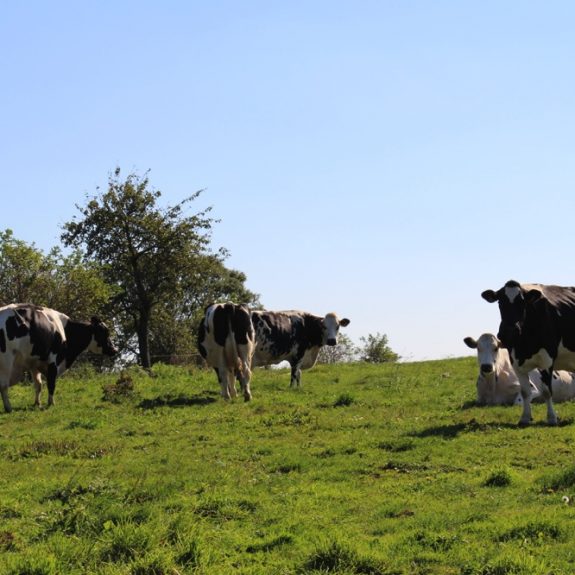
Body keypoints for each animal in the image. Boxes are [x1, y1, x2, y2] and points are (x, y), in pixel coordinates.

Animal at [484, 282, 575, 426]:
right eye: (500, 302)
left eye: (522, 303)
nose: (509, 331)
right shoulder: (515, 362)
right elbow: (525, 392)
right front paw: (525, 418)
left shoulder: (546, 361)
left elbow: (547, 391)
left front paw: (551, 418)